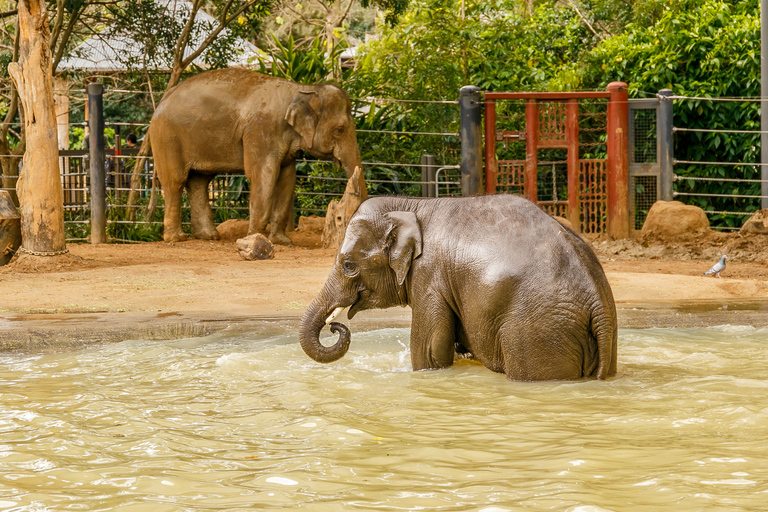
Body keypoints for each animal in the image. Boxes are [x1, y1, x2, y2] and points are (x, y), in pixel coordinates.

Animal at [148, 68, 362, 244]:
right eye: (340, 130)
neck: (301, 88)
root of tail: (162, 101)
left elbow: (287, 179)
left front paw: (282, 241)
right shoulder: (261, 130)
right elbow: (264, 176)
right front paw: (255, 237)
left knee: (199, 181)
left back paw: (209, 236)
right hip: (166, 138)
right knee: (175, 182)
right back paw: (176, 238)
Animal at [300, 195, 616, 380]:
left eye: (348, 265)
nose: (334, 327)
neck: (413, 205)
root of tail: (596, 302)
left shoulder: (429, 275)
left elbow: (429, 349)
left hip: (538, 329)